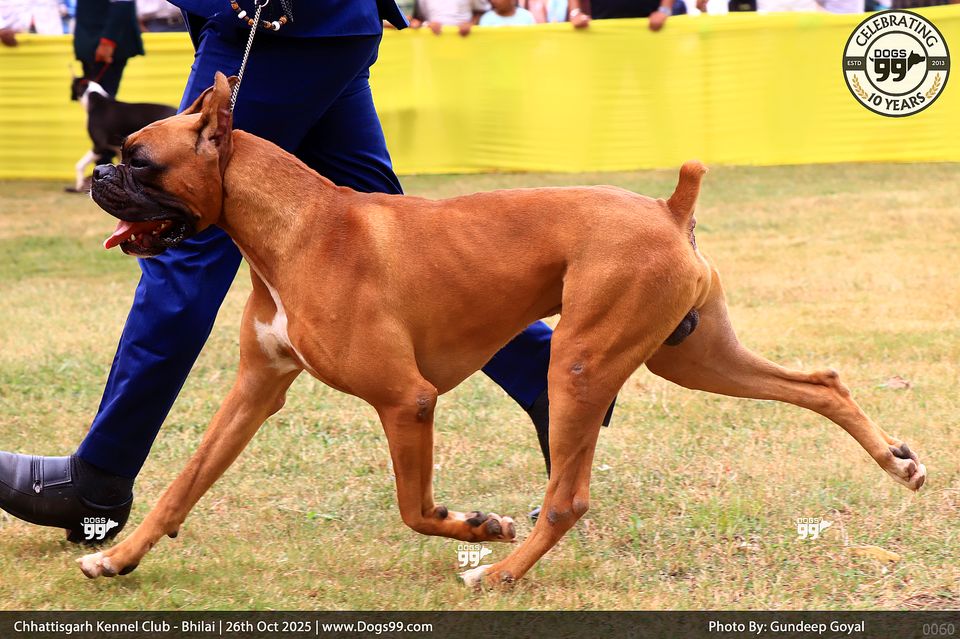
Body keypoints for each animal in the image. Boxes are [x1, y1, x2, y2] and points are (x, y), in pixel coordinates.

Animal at [78, 73, 926, 586]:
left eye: (139, 159)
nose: (99, 177)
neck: (297, 225)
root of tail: (667, 207)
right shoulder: (255, 392)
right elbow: (182, 483)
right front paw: (117, 558)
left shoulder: (407, 401)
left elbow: (415, 507)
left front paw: (477, 524)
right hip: (694, 356)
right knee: (819, 383)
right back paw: (899, 462)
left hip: (582, 364)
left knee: (567, 499)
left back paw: (503, 571)